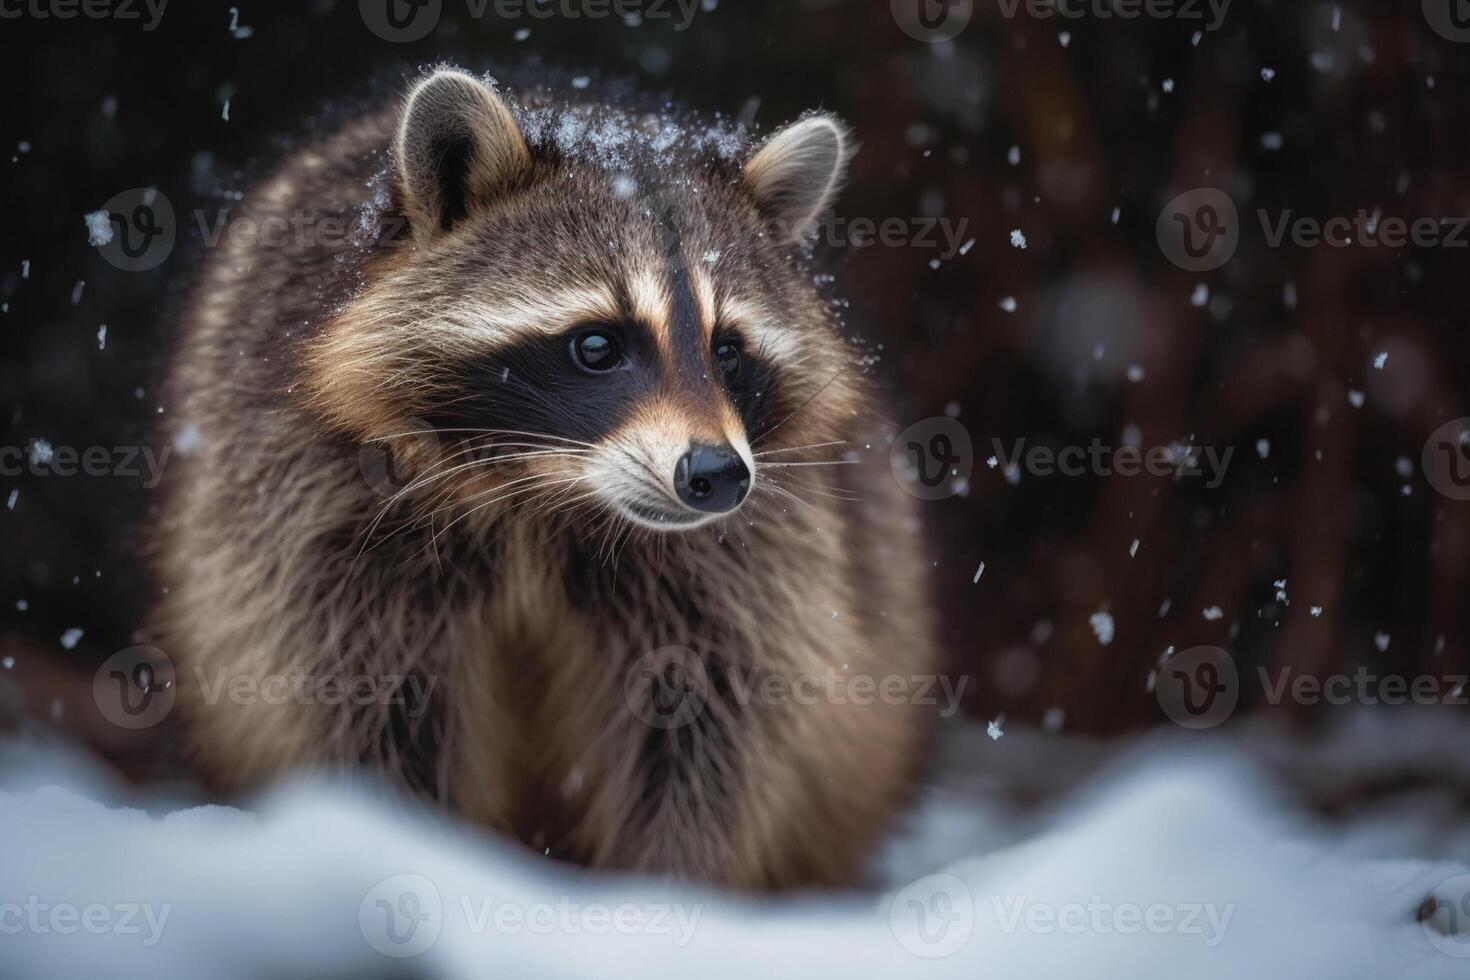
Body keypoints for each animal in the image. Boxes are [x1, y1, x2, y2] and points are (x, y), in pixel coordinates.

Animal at [155, 69, 934, 893]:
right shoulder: (312, 508)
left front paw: (671, 889)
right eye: (596, 346)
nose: (718, 475)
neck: (545, 489)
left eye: (727, 351)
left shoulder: (748, 564)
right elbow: (358, 705)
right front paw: (393, 841)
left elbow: (713, 731)